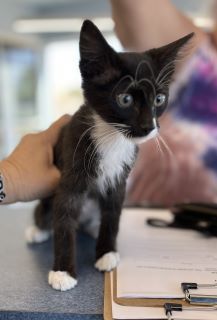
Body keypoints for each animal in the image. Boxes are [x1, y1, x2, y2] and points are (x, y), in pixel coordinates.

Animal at [25, 19, 193, 290]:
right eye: (125, 99)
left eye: (159, 99)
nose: (148, 127)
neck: (112, 137)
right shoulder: (71, 166)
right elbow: (64, 217)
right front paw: (63, 271)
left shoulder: (120, 178)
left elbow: (113, 214)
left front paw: (106, 252)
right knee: (47, 212)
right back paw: (37, 230)